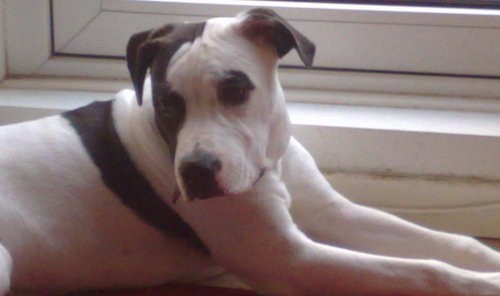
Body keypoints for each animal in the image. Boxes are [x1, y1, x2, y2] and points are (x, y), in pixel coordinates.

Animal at [0, 8, 500, 294]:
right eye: (166, 104)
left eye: (236, 89)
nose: (197, 172)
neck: (270, 160)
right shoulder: (291, 259)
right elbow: (426, 270)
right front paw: (485, 284)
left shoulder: (331, 212)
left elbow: (452, 244)